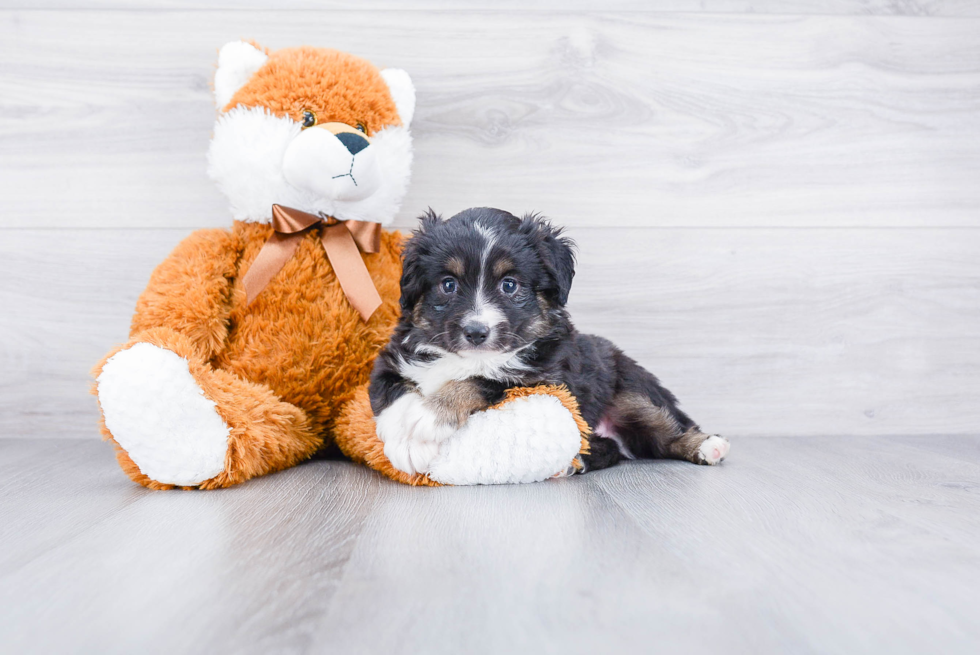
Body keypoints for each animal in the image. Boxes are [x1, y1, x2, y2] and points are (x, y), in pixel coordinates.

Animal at [368, 208, 728, 474]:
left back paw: (707, 446)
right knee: (613, 448)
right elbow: (391, 392)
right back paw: (577, 462)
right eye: (447, 284)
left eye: (510, 285)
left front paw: (426, 419)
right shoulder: (389, 359)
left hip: (631, 391)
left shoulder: (543, 380)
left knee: (666, 430)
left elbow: (478, 380)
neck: (469, 356)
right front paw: (403, 440)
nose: (476, 332)